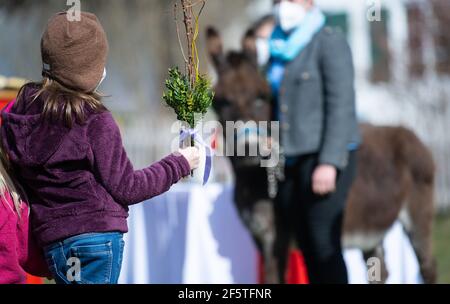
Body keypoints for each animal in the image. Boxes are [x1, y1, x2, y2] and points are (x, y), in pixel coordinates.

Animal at [207, 27, 436, 284]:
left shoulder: (278, 237)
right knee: (381, 269)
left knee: (427, 265)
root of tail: (410, 133)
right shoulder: (261, 238)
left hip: (418, 213)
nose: (248, 149)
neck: (254, 179)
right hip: (371, 228)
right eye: (221, 101)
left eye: (261, 96)